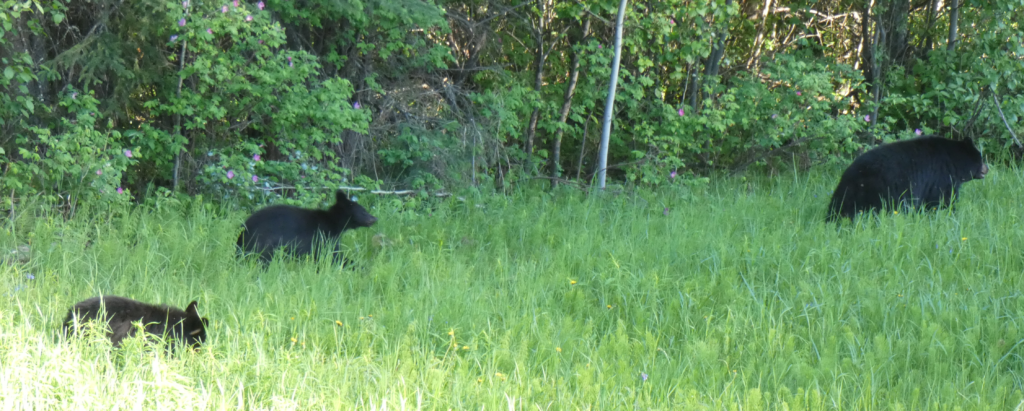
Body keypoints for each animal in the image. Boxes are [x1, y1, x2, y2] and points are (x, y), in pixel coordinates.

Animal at [234, 188, 376, 262]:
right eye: (363, 211)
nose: (375, 218)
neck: (334, 222)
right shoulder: (324, 236)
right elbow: (332, 256)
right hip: (264, 242)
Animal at [827, 135, 987, 221]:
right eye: (980, 158)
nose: (987, 168)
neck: (953, 160)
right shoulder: (941, 177)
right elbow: (942, 199)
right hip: (885, 190)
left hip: (847, 194)